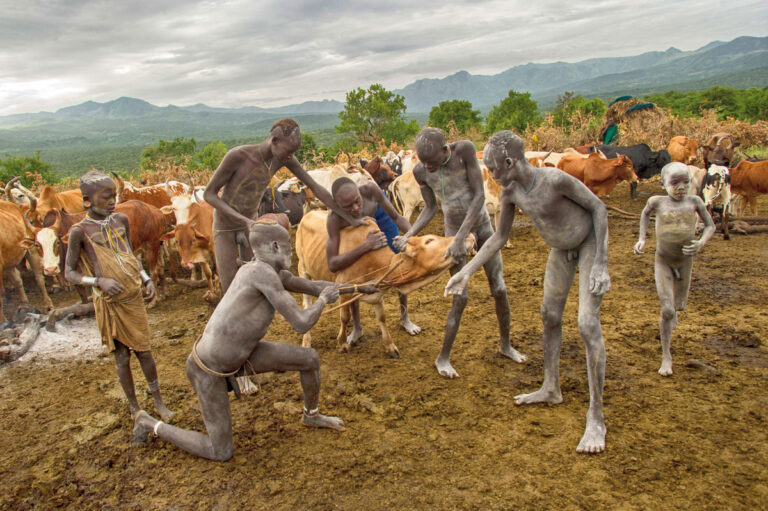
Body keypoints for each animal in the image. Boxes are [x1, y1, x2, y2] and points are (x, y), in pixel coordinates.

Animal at [296, 210, 472, 358]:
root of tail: (308, 213)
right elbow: (344, 317)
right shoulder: (343, 287)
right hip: (303, 270)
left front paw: (390, 346)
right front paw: (342, 343)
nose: (469, 236)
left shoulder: (376, 293)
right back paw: (306, 340)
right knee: (306, 303)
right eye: (429, 240)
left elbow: (382, 317)